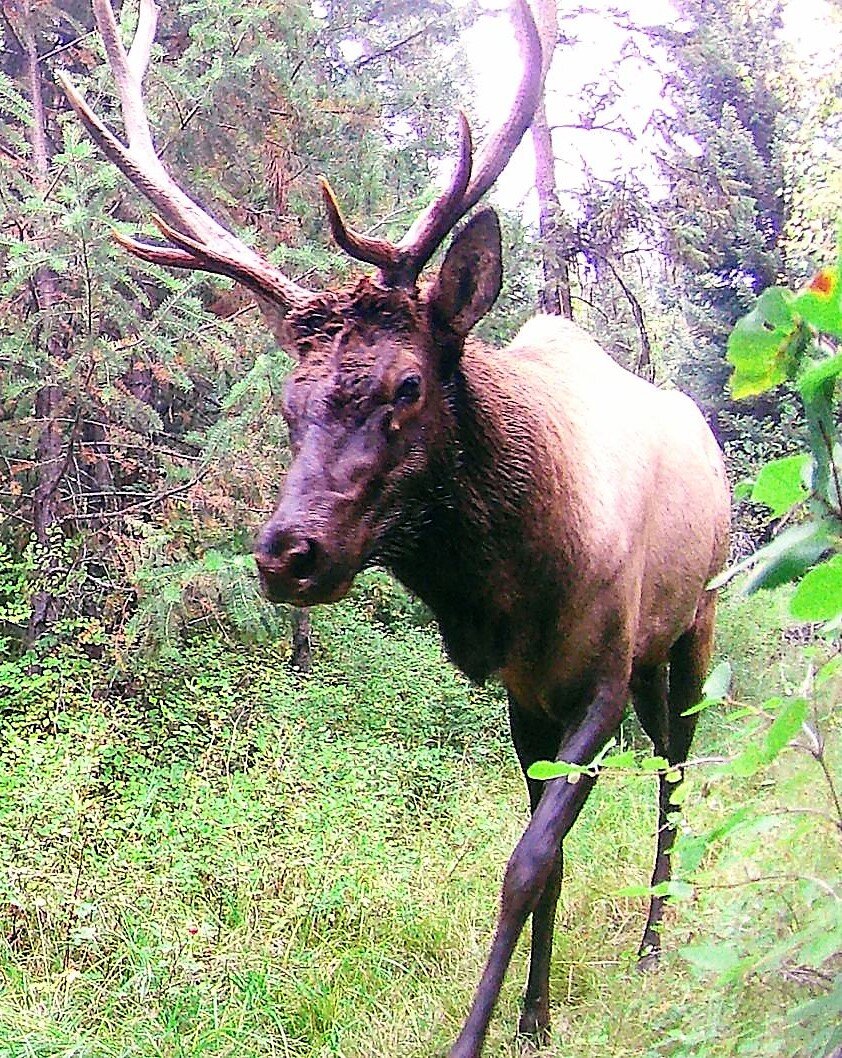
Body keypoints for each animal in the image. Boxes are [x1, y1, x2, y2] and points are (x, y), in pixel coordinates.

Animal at [60, 4, 731, 1053]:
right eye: (289, 403)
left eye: (407, 385)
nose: (285, 553)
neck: (517, 585)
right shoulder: (524, 694)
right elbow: (550, 860)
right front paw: (535, 1015)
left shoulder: (602, 679)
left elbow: (525, 864)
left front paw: (475, 1032)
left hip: (694, 620)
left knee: (676, 773)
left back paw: (657, 943)